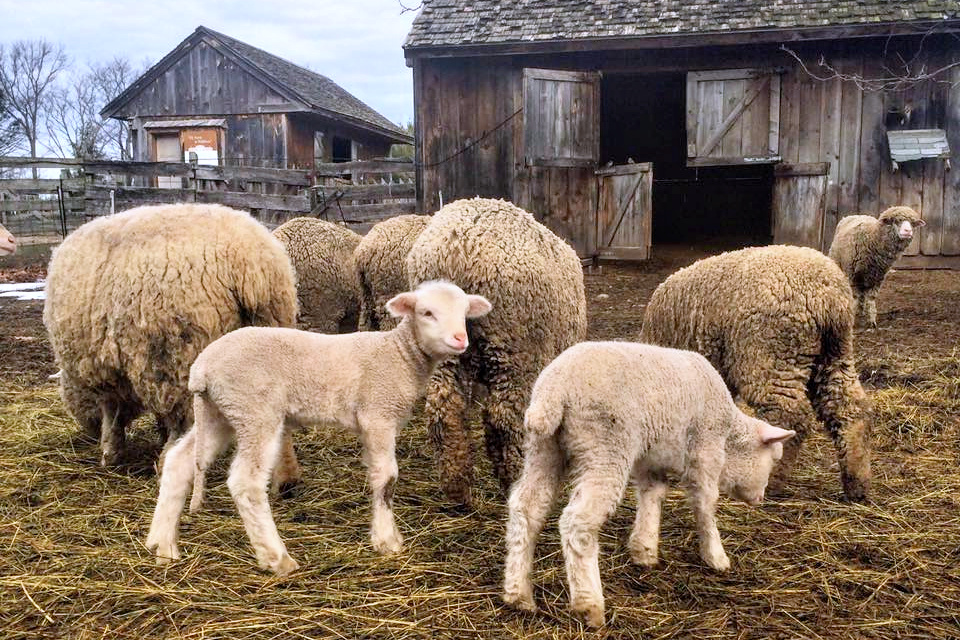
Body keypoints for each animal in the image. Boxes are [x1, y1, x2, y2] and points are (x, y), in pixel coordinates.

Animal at [43, 203, 300, 487]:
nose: (87, 433)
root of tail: (253, 266)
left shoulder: (104, 369)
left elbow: (112, 413)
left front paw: (110, 452)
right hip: (270, 336)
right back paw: (286, 478)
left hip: (178, 355)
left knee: (184, 419)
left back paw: (168, 461)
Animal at [146, 280, 492, 576]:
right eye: (427, 313)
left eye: (464, 313)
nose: (460, 340)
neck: (398, 355)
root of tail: (201, 369)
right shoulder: (378, 413)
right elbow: (387, 479)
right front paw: (387, 542)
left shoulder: (371, 422)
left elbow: (376, 476)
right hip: (255, 411)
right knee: (246, 482)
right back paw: (276, 558)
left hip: (221, 414)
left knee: (178, 462)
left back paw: (163, 546)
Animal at [405, 197, 586, 506]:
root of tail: (460, 248)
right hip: (516, 348)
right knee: (504, 420)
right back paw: (515, 480)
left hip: (445, 345)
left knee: (444, 409)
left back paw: (457, 489)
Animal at [502, 341, 795, 628]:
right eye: (774, 458)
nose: (761, 498)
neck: (729, 434)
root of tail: (554, 390)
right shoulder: (705, 449)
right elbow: (705, 504)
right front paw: (716, 557)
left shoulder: (650, 459)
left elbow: (652, 496)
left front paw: (644, 549)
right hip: (605, 446)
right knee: (578, 521)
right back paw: (589, 606)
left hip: (543, 448)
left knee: (526, 507)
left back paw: (518, 594)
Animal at [640, 245, 871, 501]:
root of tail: (828, 296)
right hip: (835, 353)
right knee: (849, 409)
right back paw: (857, 483)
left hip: (771, 355)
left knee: (790, 415)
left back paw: (772, 480)